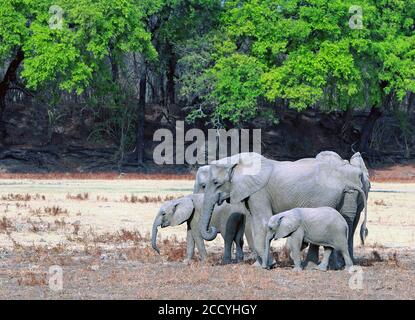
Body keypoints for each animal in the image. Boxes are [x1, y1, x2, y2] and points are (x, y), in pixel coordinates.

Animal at [200, 152, 368, 268]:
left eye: (216, 182)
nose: (212, 228)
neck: (237, 161)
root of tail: (343, 182)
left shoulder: (259, 191)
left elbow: (262, 222)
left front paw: (269, 265)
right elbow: (253, 224)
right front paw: (259, 265)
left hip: (324, 198)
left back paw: (311, 266)